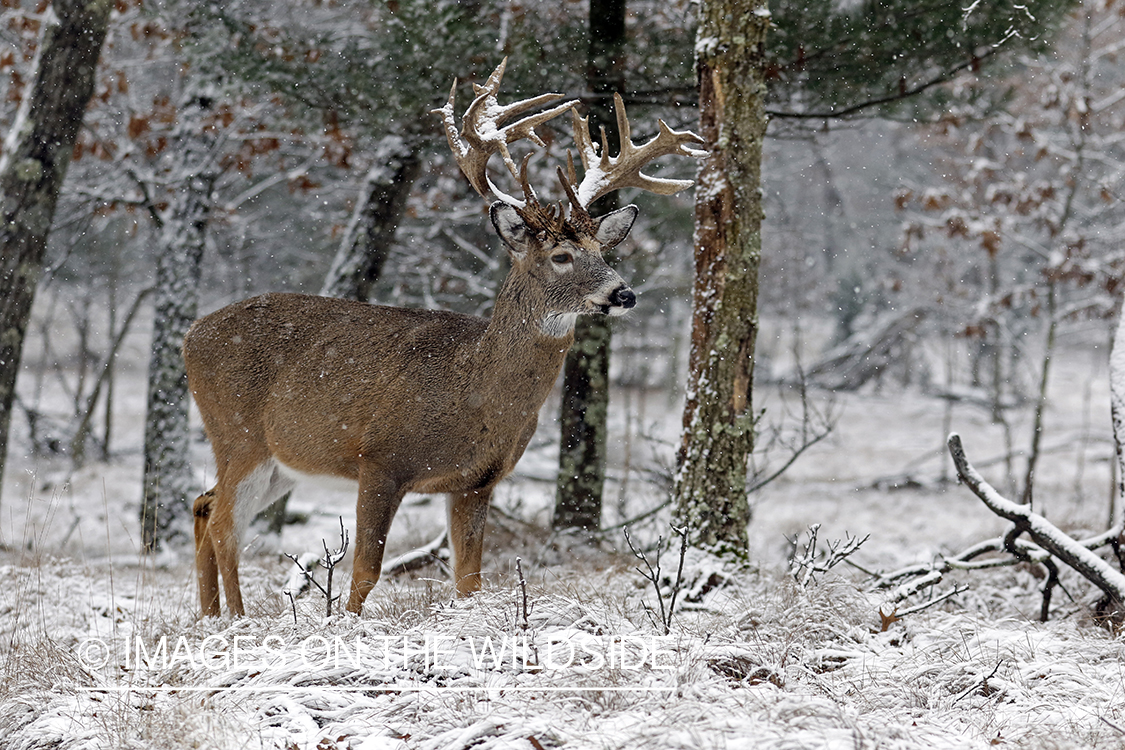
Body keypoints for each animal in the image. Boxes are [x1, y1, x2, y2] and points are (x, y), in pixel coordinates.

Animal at [184, 60, 702, 616]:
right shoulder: (381, 459)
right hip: (238, 433)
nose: (624, 293)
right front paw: (346, 625)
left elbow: (469, 579)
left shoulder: (478, 480)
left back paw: (210, 616)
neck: (473, 392)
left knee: (204, 503)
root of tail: (191, 334)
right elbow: (365, 571)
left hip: (282, 460)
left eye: (602, 251)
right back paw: (236, 618)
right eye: (560, 256)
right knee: (224, 521)